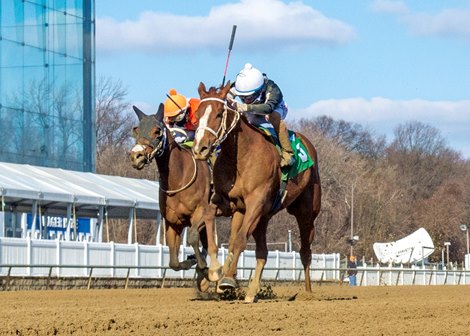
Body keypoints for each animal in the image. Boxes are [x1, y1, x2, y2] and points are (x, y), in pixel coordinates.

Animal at [129, 103, 220, 288]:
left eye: (157, 131)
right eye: (136, 130)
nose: (136, 156)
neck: (179, 177)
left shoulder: (202, 211)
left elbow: (192, 237)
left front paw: (201, 265)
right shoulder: (172, 222)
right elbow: (174, 262)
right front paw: (191, 262)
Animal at [193, 81, 322, 302]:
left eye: (218, 114)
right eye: (197, 113)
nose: (199, 149)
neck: (241, 156)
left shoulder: (256, 202)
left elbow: (239, 241)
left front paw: (225, 279)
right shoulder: (227, 202)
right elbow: (211, 218)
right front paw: (215, 272)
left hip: (305, 211)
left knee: (305, 250)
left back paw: (308, 291)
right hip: (260, 216)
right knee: (262, 251)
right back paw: (249, 290)